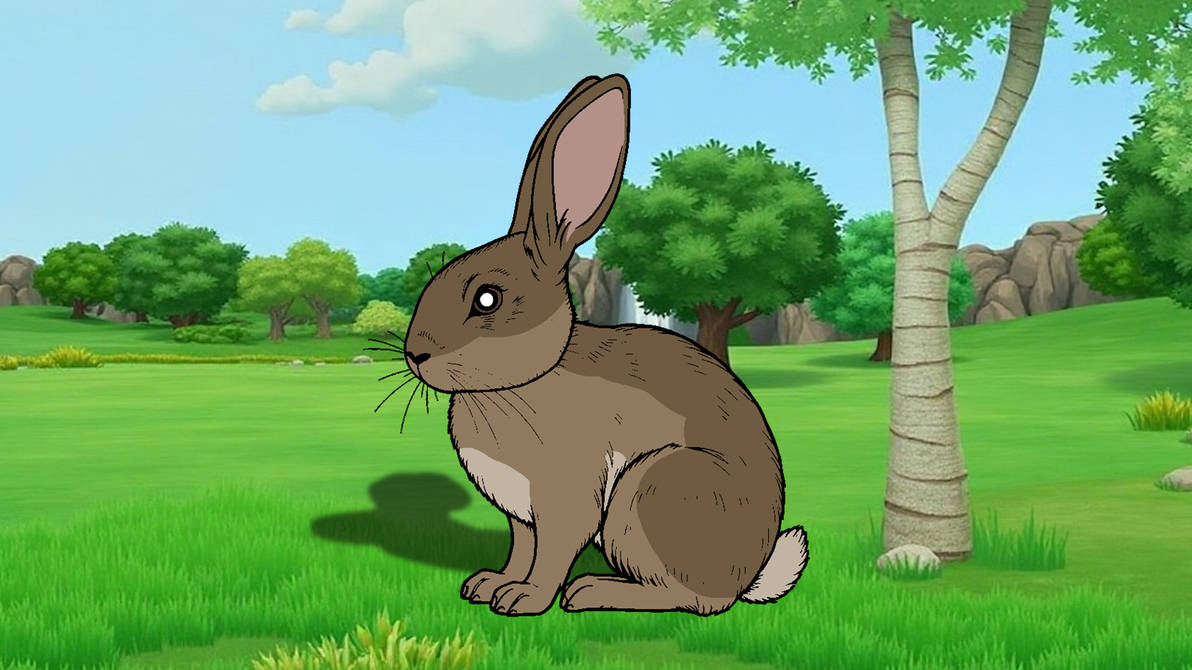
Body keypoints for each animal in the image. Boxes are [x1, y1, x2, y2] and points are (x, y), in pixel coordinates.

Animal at [401, 73, 808, 617]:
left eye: (487, 299)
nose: (416, 355)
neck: (532, 376)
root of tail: (743, 578)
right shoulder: (521, 515)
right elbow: (521, 549)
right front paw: (490, 586)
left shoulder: (566, 495)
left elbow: (552, 553)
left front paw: (525, 600)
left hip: (650, 493)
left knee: (686, 598)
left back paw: (593, 591)